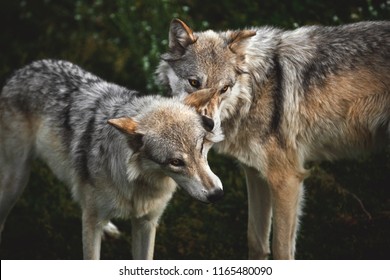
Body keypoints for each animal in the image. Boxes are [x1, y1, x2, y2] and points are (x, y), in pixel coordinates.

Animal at [0, 59, 224, 260]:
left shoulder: (147, 223)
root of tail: (21, 70)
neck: (139, 184)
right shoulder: (93, 226)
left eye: (201, 148)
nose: (217, 195)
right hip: (16, 182)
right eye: (175, 162)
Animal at [156, 19, 390, 260]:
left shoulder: (286, 179)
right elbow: (256, 241)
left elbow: (280, 250)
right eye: (194, 82)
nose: (208, 124)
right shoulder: (255, 174)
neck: (254, 93)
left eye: (224, 89)